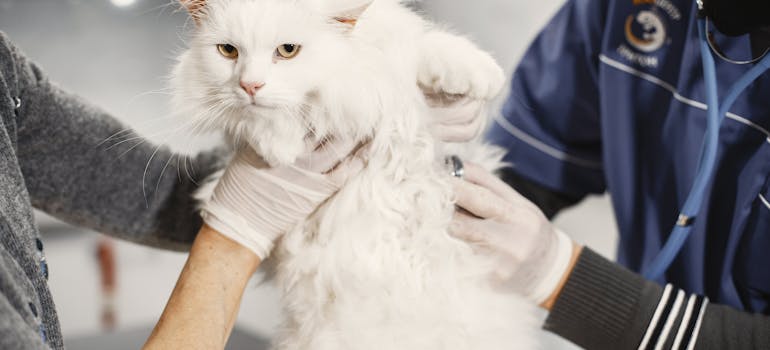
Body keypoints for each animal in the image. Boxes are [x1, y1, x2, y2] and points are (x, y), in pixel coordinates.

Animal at [173, 0, 536, 348]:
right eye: (228, 51)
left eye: (287, 50)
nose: (250, 85)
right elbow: (257, 119)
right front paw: (280, 147)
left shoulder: (392, 55)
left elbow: (429, 49)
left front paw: (480, 76)